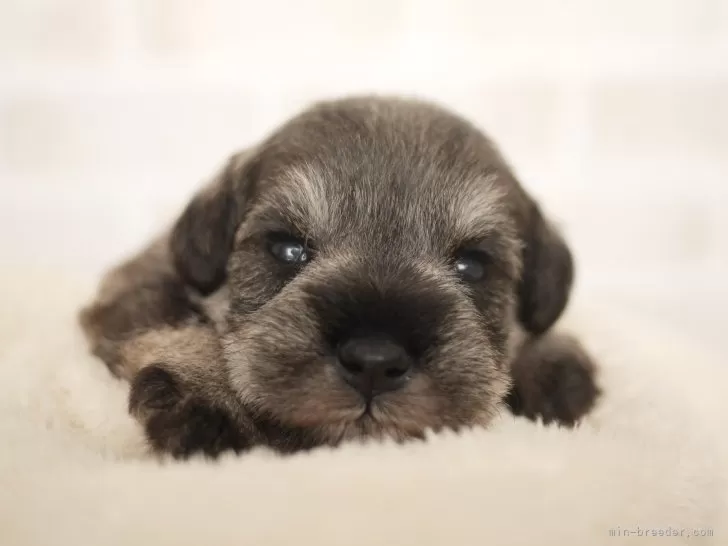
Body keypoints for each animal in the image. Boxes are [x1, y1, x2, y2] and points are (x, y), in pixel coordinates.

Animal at [81, 95, 596, 456]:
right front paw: (207, 393)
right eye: (288, 249)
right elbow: (175, 326)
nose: (374, 362)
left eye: (472, 265)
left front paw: (554, 367)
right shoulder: (136, 288)